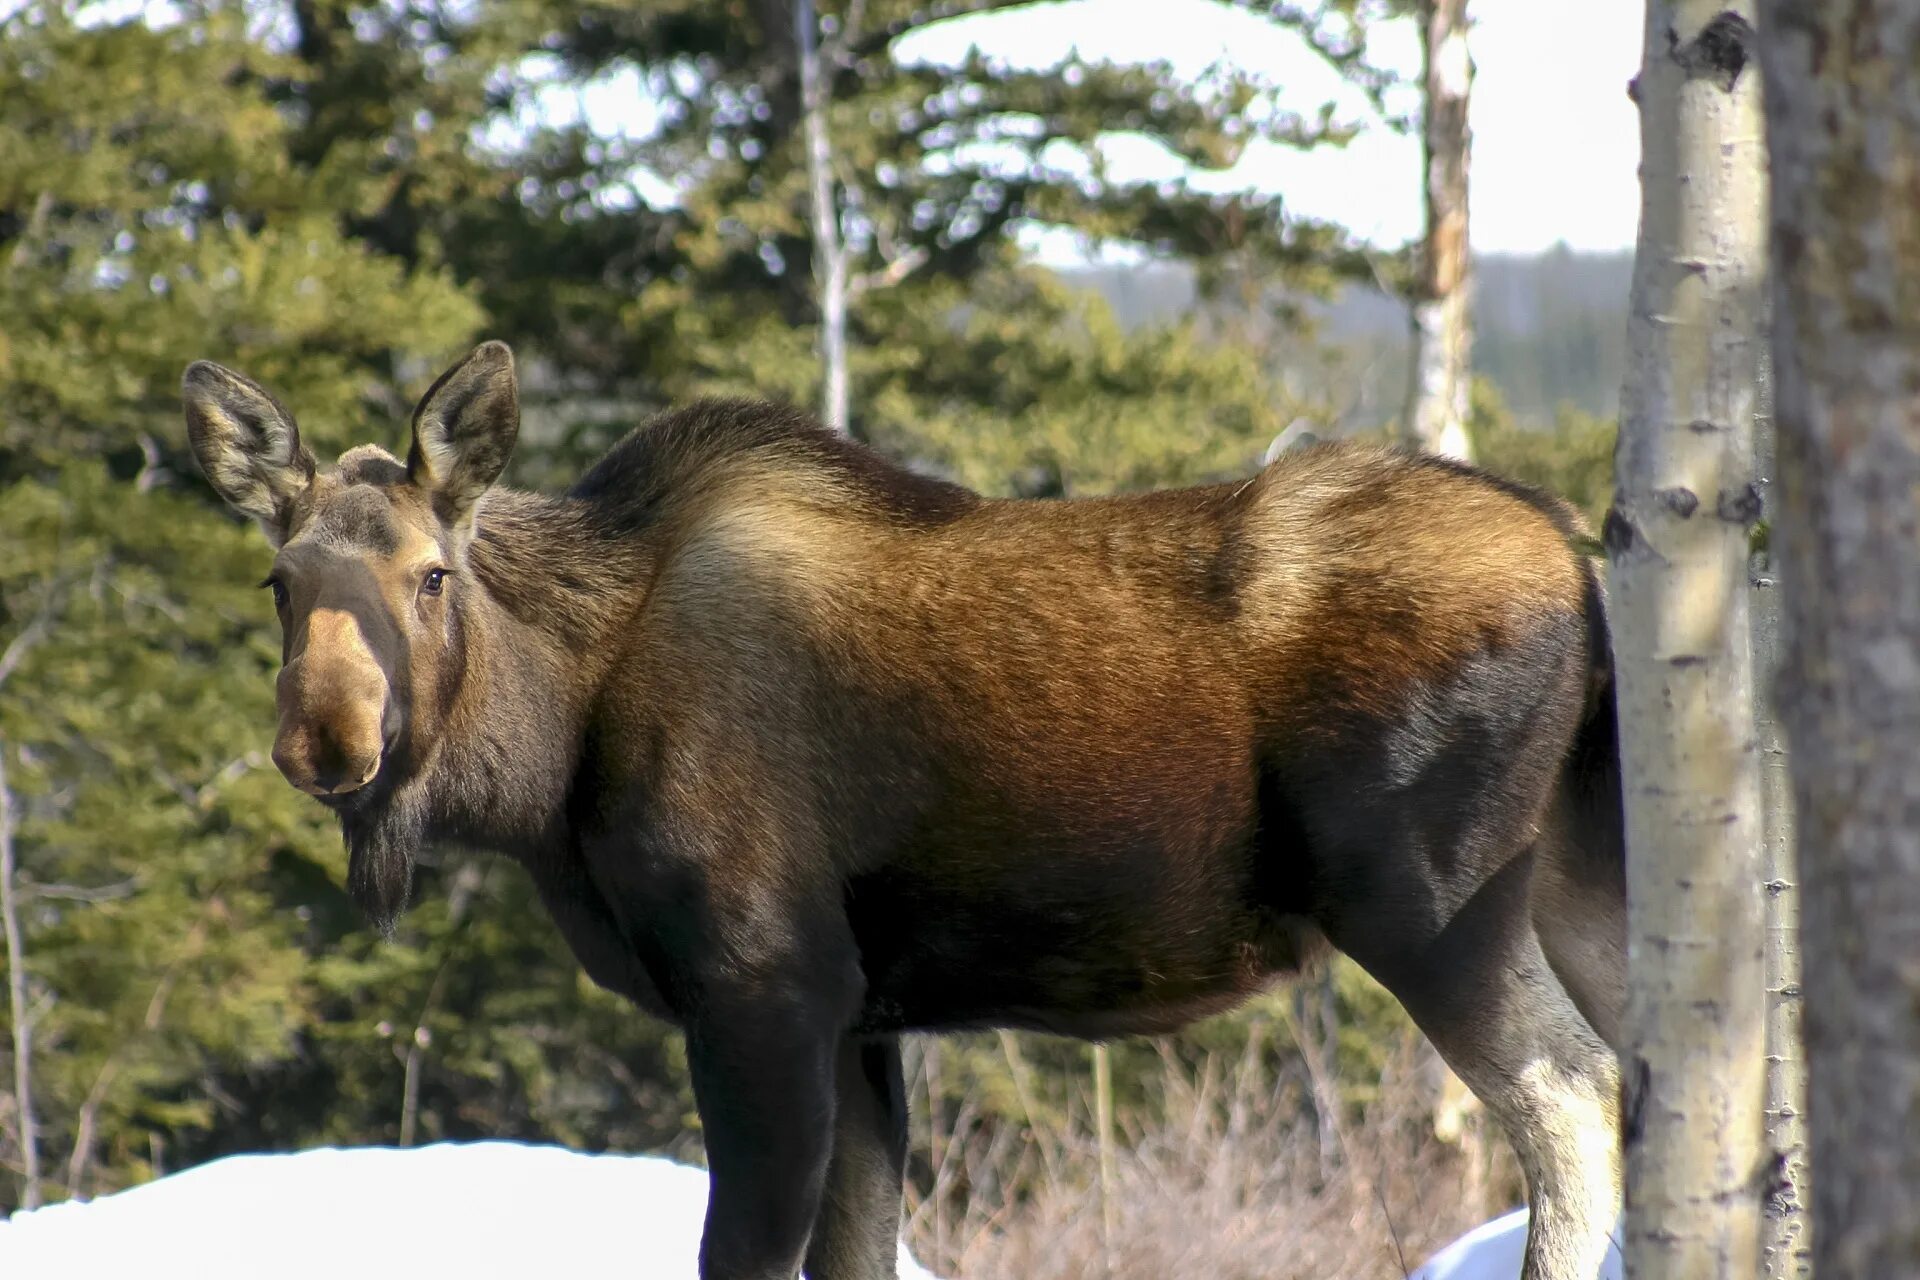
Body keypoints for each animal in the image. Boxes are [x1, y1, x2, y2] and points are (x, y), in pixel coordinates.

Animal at [180, 339, 1628, 1280]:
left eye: (431, 574)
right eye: (276, 581)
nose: (326, 737)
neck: (551, 761)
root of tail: (1582, 556)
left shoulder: (769, 985)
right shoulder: (864, 1017)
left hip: (1428, 897)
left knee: (1573, 1104)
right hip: (1584, 878)